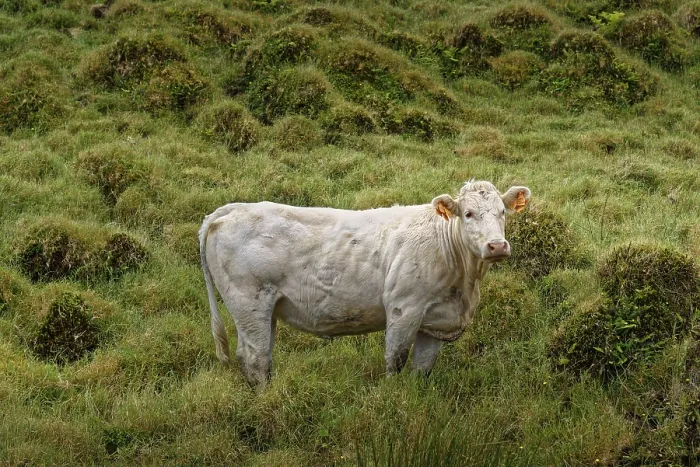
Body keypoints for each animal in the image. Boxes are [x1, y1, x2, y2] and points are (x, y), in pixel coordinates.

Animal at [199, 180, 531, 388]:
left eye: (502, 213)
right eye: (469, 213)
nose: (496, 246)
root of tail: (231, 210)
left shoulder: (435, 321)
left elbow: (422, 370)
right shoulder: (403, 309)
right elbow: (395, 360)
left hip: (265, 311)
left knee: (260, 357)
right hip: (249, 302)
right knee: (255, 358)